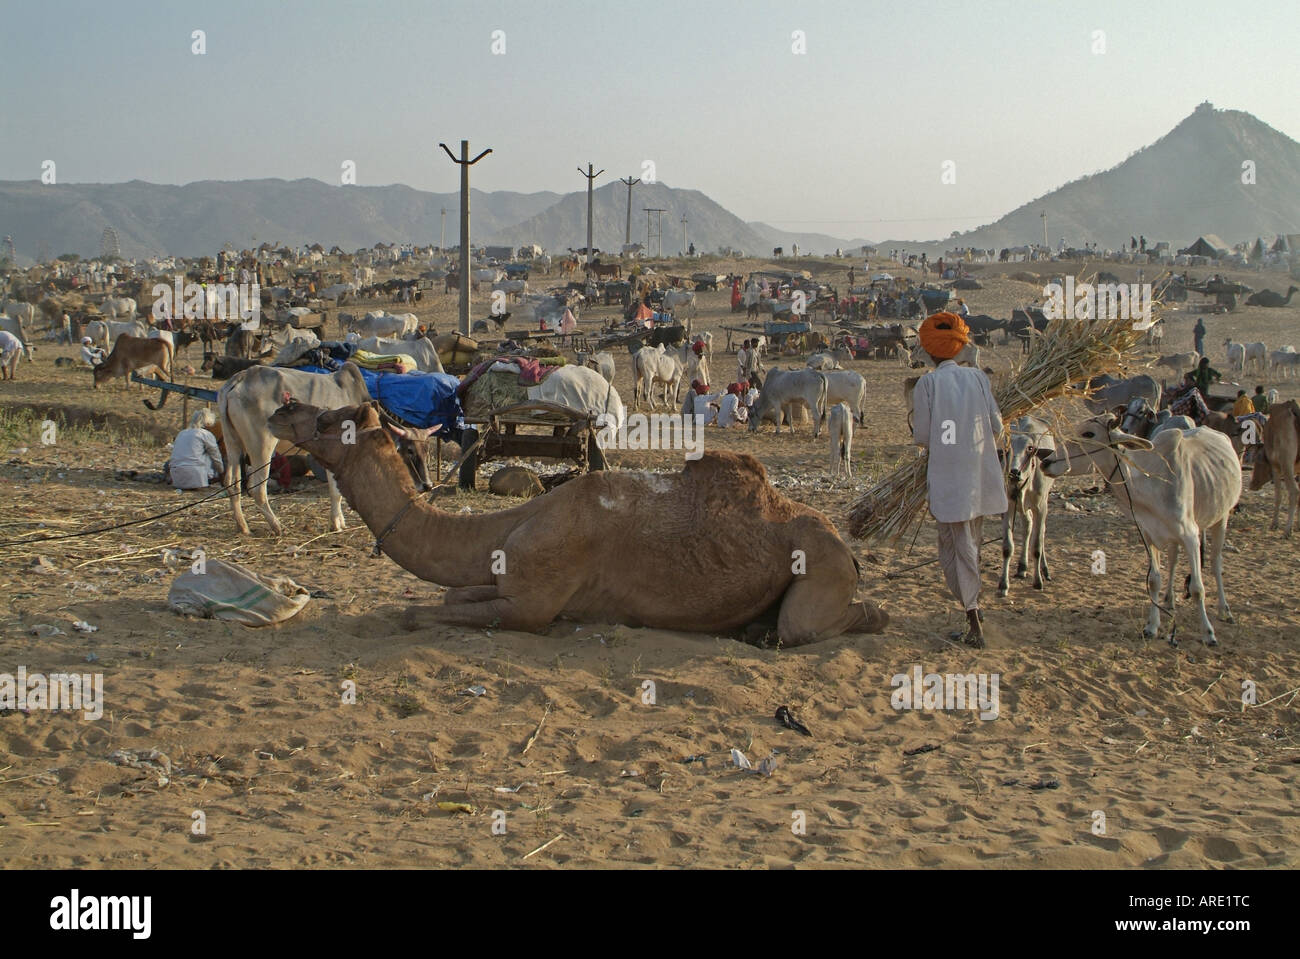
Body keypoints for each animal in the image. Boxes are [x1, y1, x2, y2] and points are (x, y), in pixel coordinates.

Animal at [267, 400, 889, 645]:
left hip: (822, 563)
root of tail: (846, 546)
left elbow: (417, 612)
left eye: (331, 419)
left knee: (814, 624)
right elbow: (447, 597)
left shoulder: (531, 605)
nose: (283, 405)